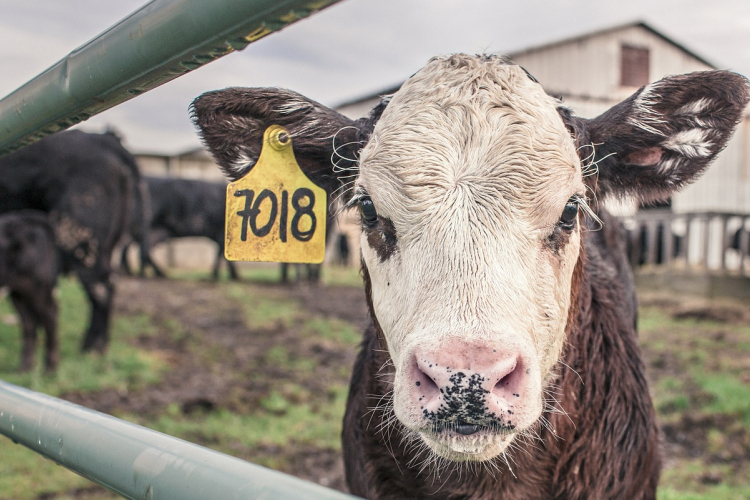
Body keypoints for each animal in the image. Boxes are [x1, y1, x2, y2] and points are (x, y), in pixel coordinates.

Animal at [0, 131, 140, 354]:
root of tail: (103, 139)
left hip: (79, 238)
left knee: (101, 289)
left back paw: (92, 346)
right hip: (109, 244)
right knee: (108, 285)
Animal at [0, 210, 59, 372]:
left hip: (37, 287)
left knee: (50, 314)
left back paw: (50, 368)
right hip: (18, 292)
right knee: (29, 322)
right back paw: (25, 367)